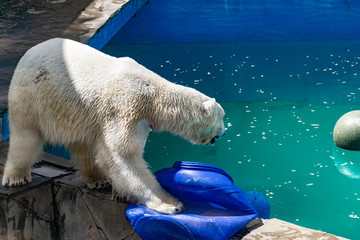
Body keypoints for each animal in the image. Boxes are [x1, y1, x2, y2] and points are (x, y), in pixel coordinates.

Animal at [1, 38, 225, 214]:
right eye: (222, 117)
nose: (223, 132)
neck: (154, 94)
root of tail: (30, 51)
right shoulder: (127, 109)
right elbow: (124, 156)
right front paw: (171, 204)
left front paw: (119, 193)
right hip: (32, 96)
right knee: (25, 137)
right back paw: (16, 177)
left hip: (73, 111)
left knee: (82, 144)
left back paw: (98, 179)